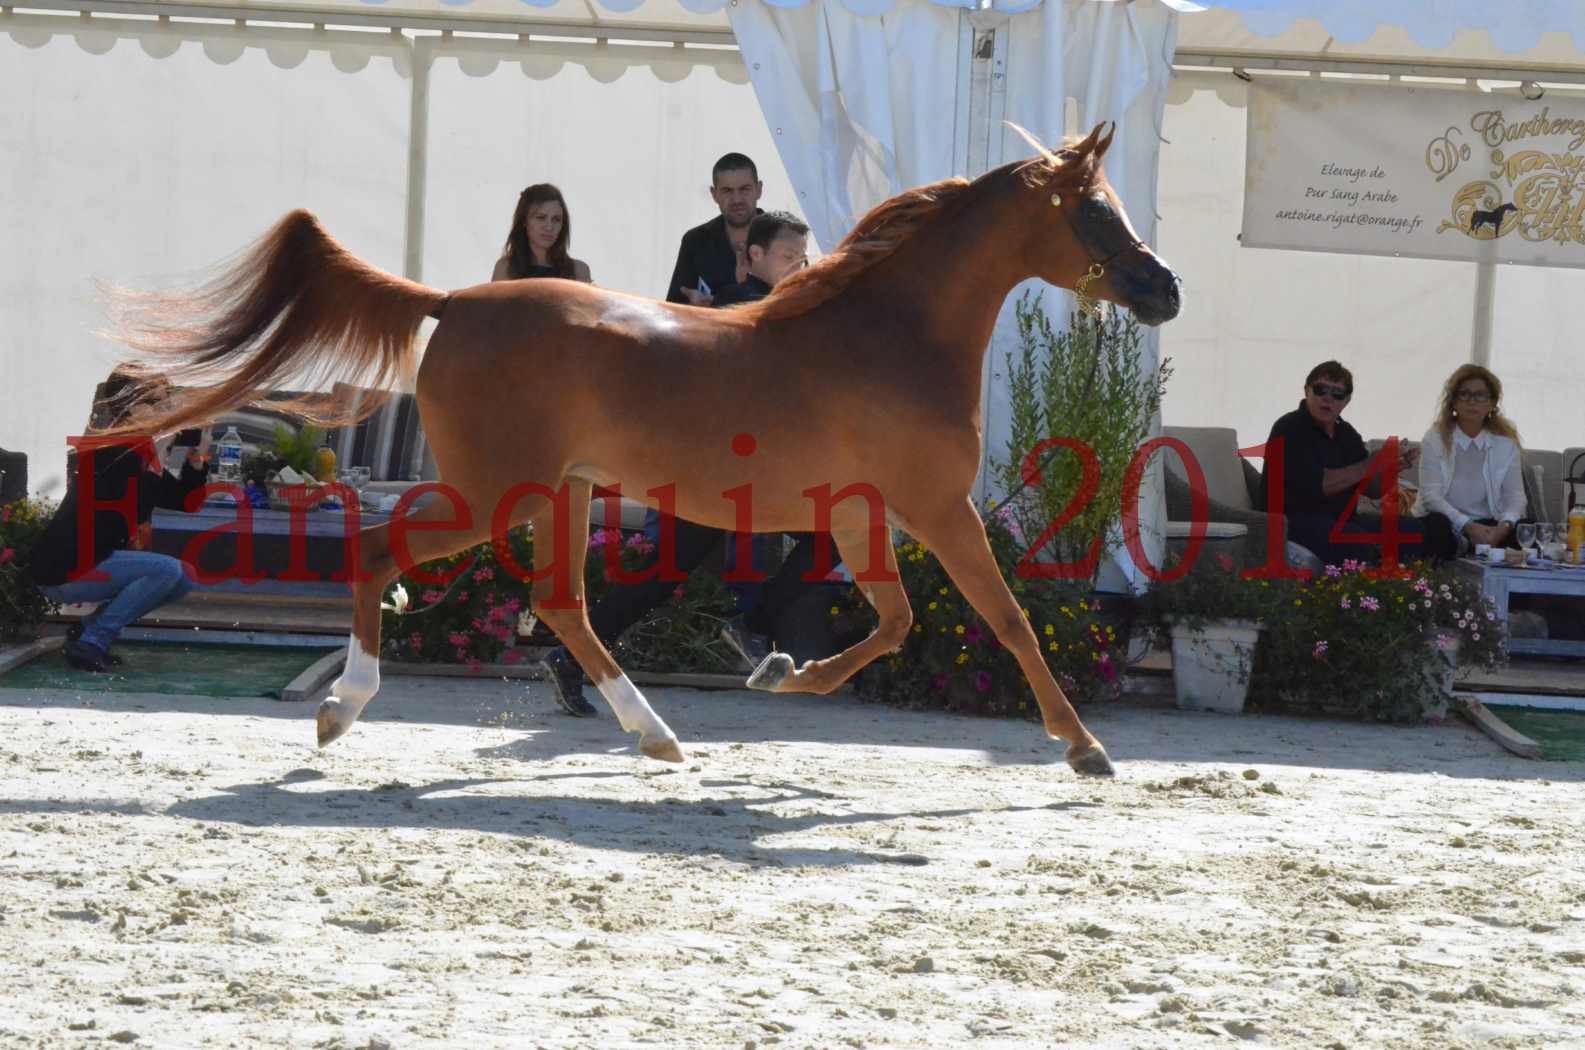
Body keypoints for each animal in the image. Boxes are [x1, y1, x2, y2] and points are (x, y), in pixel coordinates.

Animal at [105, 125, 1179, 780]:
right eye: (1093, 210)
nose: (1162, 289)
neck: (889, 334)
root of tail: (454, 301)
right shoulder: (932, 508)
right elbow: (1004, 621)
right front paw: (1085, 748)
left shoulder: (859, 514)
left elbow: (894, 623)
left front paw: (776, 671)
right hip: (497, 490)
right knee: (384, 555)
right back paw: (343, 709)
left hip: (562, 495)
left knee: (563, 607)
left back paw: (653, 735)